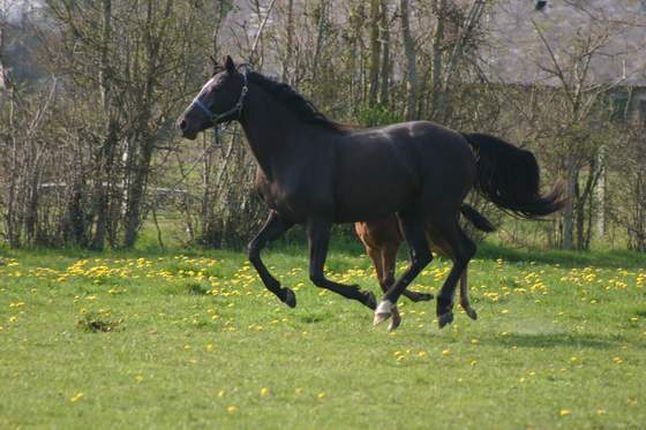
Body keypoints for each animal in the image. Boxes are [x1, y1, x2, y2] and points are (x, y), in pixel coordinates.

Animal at [356, 203, 494, 330]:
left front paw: (420, 297)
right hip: (434, 240)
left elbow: (387, 280)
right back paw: (461, 306)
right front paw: (394, 319)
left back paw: (457, 307)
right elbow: (382, 281)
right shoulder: (371, 249)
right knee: (458, 257)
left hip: (437, 235)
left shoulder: (390, 244)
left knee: (462, 253)